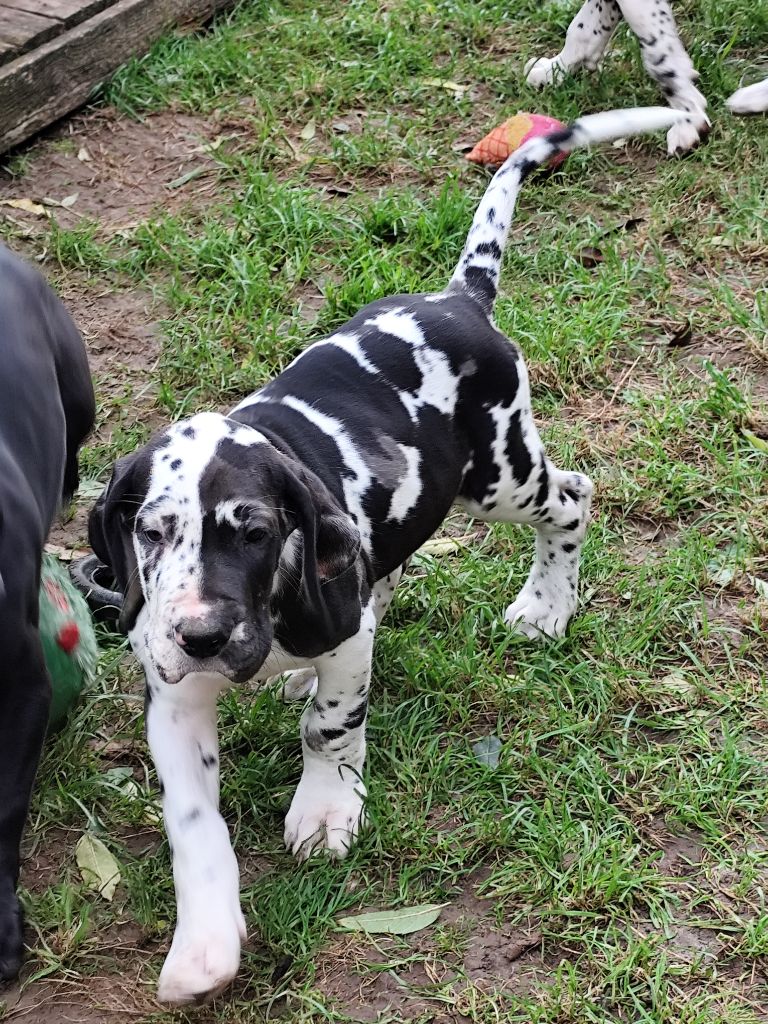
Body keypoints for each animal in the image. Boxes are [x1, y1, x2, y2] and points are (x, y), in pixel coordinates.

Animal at [88, 106, 687, 1004]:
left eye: (253, 532)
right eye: (152, 533)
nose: (200, 635)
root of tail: (458, 298)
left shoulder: (338, 640)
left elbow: (330, 726)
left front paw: (327, 808)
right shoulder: (176, 695)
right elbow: (194, 822)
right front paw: (203, 946)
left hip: (499, 476)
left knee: (572, 497)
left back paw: (546, 606)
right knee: (390, 572)